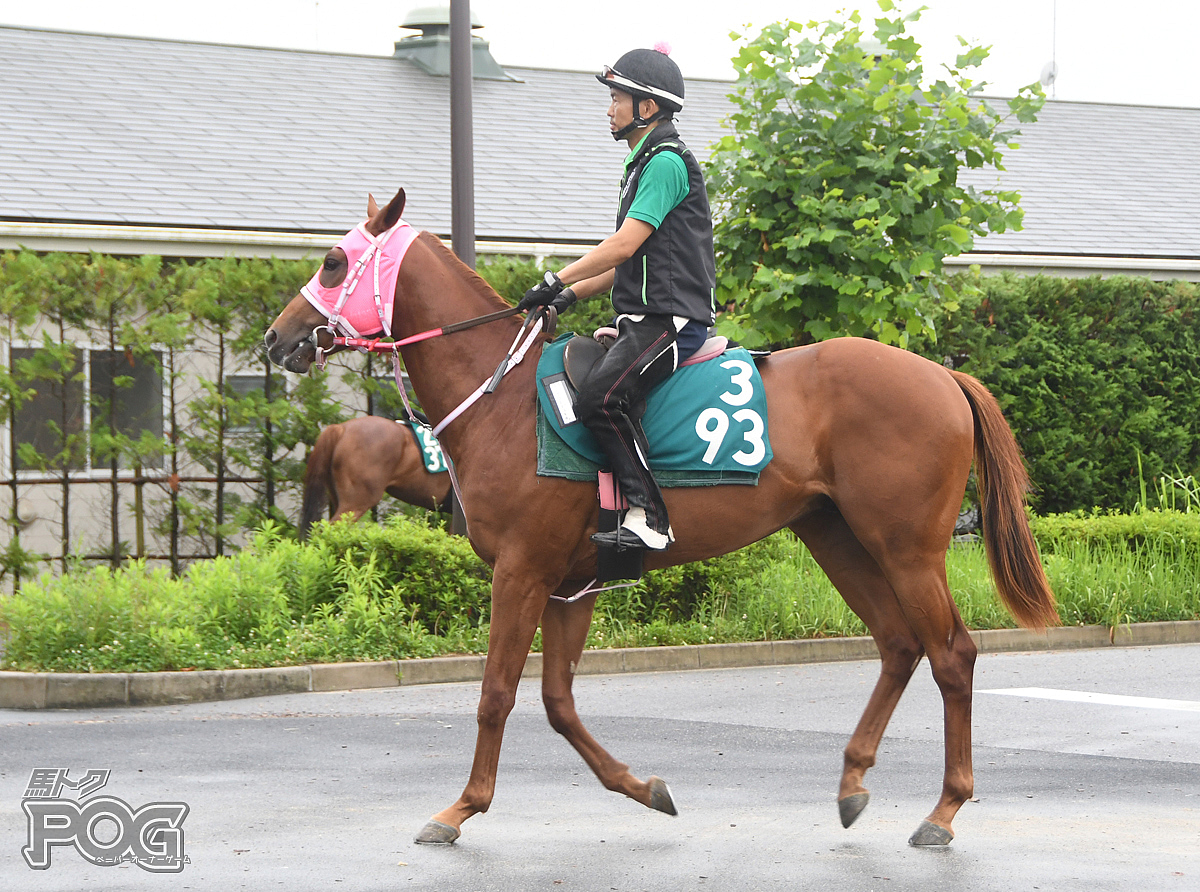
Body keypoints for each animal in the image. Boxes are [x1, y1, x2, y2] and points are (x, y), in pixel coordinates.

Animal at [267, 189, 1056, 849]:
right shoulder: (568, 583)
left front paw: (461, 808)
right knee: (897, 644)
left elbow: (496, 694)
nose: (277, 338)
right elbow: (557, 701)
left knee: (952, 654)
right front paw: (642, 786)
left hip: (907, 547)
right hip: (836, 536)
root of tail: (942, 375)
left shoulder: (522, 573)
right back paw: (852, 782)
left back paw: (943, 811)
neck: (504, 402)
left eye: (333, 261)